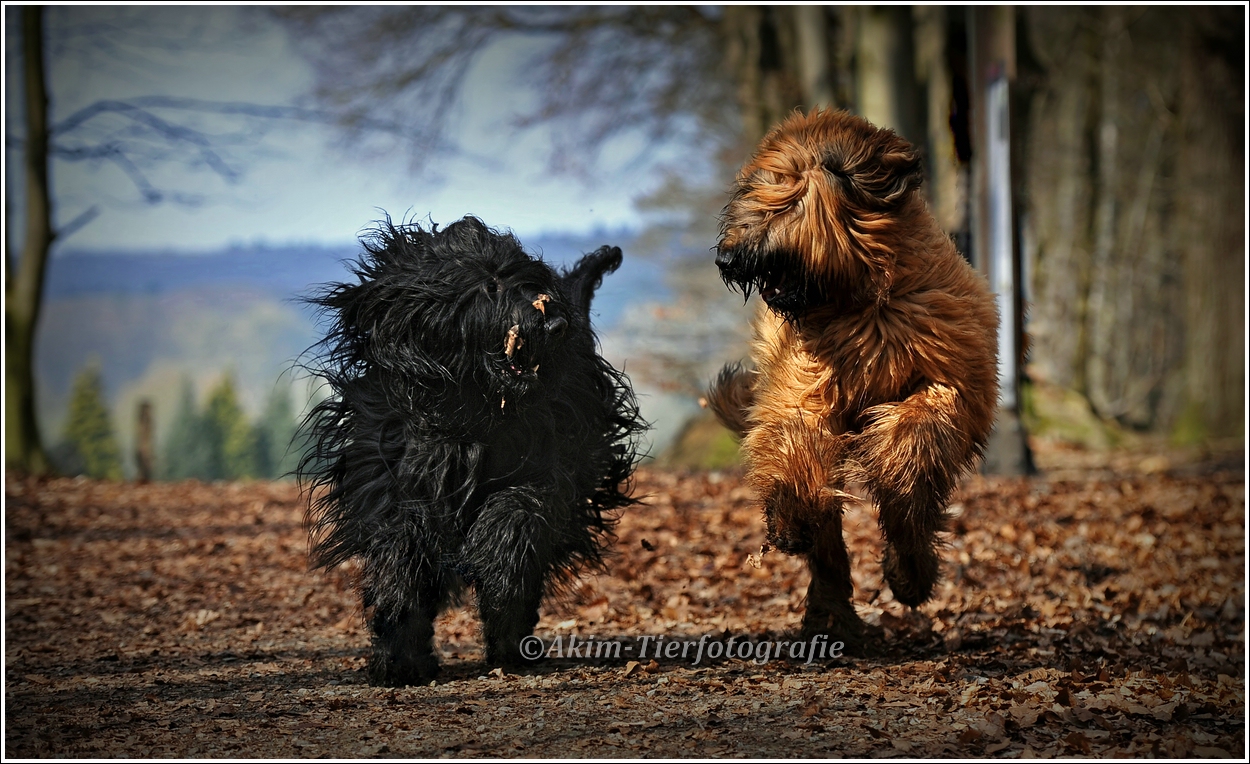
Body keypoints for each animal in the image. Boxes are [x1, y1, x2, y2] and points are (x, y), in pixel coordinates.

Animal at [297, 213, 640, 685]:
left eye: (530, 284)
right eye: (491, 286)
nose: (555, 326)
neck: (472, 407)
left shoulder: (549, 468)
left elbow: (517, 517)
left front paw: (497, 572)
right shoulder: (392, 477)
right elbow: (399, 551)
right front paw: (400, 654)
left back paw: (511, 644)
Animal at [710, 106, 1000, 645]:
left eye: (788, 196)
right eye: (752, 191)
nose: (727, 257)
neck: (861, 303)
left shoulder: (952, 378)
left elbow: (916, 436)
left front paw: (906, 552)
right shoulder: (806, 387)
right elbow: (798, 438)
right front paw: (791, 513)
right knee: (825, 536)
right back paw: (829, 609)